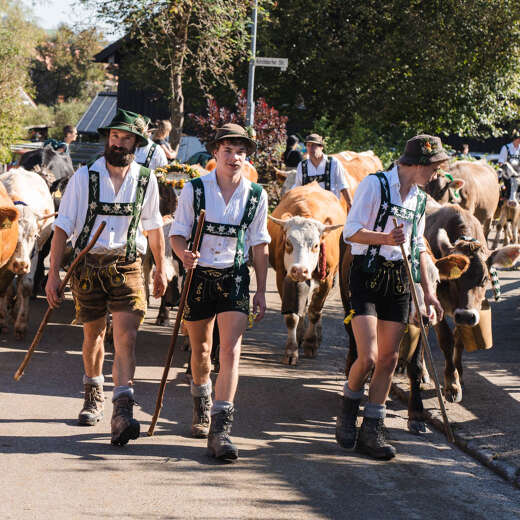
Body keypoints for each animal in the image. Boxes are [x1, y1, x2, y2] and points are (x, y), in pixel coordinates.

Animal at [0, 169, 54, 340]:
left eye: (35, 235)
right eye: (13, 235)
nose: (21, 264)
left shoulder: (34, 255)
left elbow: (25, 286)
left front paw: (21, 324)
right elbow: (6, 287)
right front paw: (2, 320)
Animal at [268, 183, 346, 366]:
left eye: (316, 245)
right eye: (288, 243)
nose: (299, 270)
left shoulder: (327, 279)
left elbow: (315, 311)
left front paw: (311, 343)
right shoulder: (283, 277)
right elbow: (292, 316)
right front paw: (291, 350)